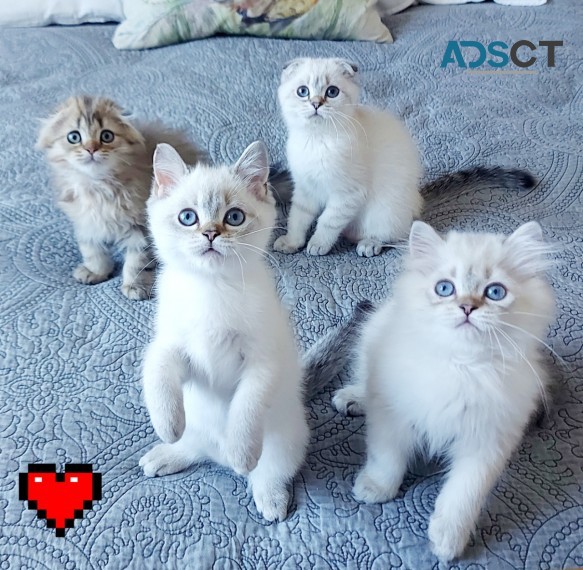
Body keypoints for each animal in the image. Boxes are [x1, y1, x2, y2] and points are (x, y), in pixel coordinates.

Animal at [140, 139, 312, 520]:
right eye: (188, 217)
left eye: (234, 217)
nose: (210, 233)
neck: (211, 289)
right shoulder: (171, 344)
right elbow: (157, 372)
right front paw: (166, 423)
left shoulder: (263, 361)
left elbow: (246, 408)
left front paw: (242, 451)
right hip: (198, 426)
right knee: (194, 448)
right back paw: (166, 453)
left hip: (284, 440)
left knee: (269, 471)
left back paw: (267, 494)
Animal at [274, 56, 424, 258]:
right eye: (303, 91)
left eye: (332, 92)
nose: (316, 103)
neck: (316, 140)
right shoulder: (305, 188)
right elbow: (297, 219)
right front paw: (291, 243)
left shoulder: (347, 193)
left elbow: (327, 221)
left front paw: (317, 245)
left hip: (385, 211)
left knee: (395, 236)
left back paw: (369, 244)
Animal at [334, 219, 556, 560]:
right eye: (444, 288)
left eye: (495, 292)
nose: (466, 307)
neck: (462, 366)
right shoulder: (392, 414)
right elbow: (386, 458)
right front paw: (375, 489)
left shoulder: (487, 442)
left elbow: (463, 495)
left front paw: (448, 540)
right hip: (372, 335)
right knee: (365, 380)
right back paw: (352, 398)